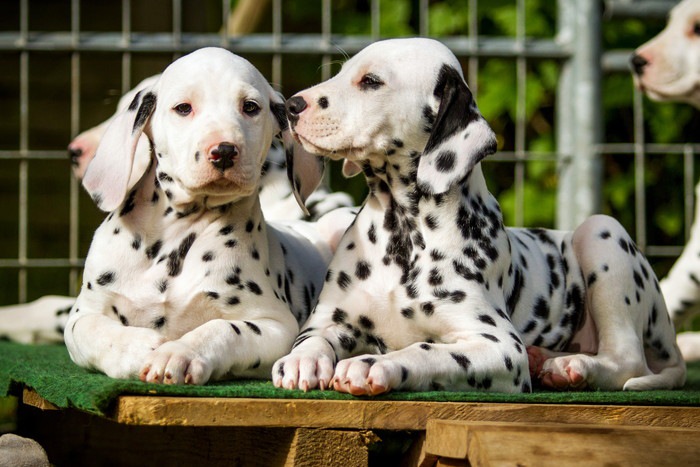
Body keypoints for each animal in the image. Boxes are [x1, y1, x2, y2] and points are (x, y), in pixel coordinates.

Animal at [61, 45, 346, 386]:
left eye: (250, 107)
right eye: (183, 108)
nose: (223, 151)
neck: (177, 235)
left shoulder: (274, 325)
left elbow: (221, 329)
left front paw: (179, 353)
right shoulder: (82, 315)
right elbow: (96, 332)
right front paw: (140, 347)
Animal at [270, 37, 688, 394]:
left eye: (370, 81)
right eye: (342, 72)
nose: (291, 106)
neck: (403, 234)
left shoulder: (499, 347)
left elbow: (425, 351)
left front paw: (373, 363)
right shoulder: (331, 320)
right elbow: (312, 339)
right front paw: (303, 361)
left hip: (601, 232)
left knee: (626, 361)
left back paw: (573, 366)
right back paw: (550, 359)